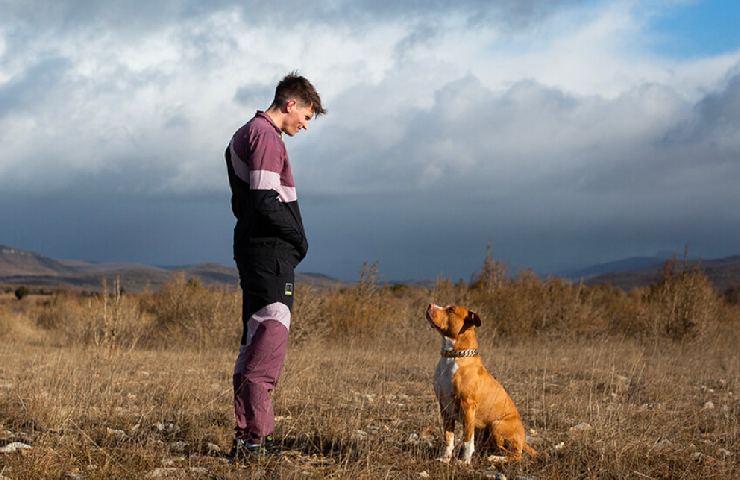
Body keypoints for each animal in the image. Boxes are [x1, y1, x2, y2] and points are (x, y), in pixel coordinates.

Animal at [424, 304, 536, 464]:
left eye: (450, 310)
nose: (430, 305)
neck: (452, 356)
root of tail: (524, 440)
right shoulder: (445, 408)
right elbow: (448, 437)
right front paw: (445, 458)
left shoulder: (467, 406)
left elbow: (466, 439)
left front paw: (464, 461)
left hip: (496, 425)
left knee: (515, 455)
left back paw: (495, 459)